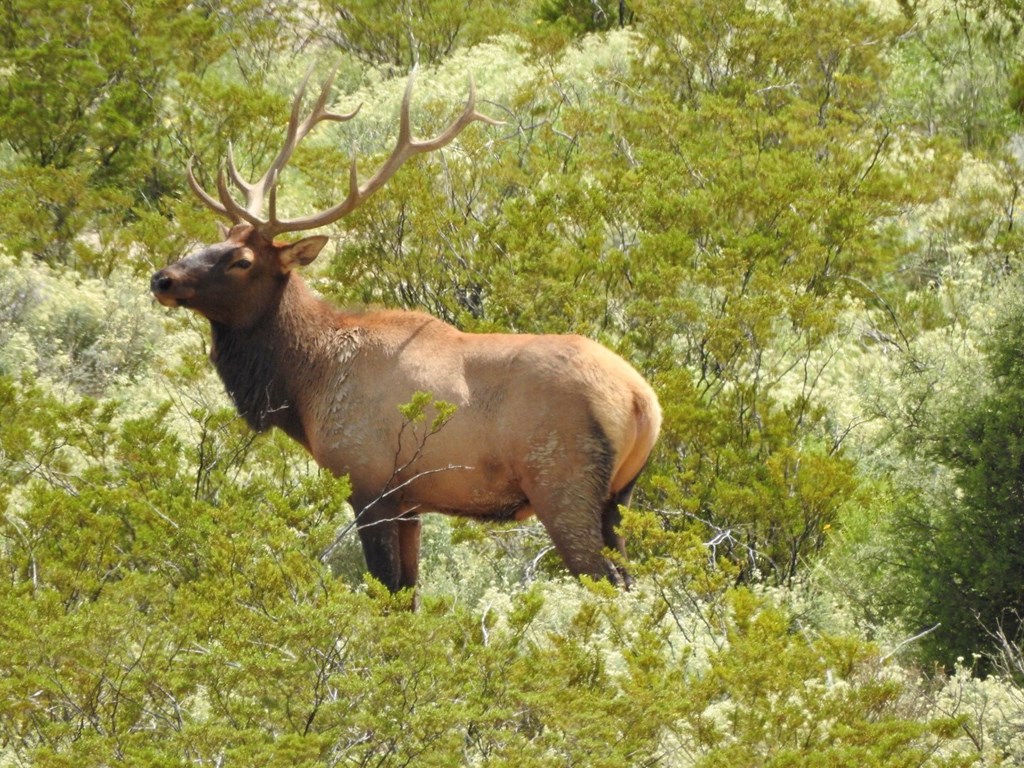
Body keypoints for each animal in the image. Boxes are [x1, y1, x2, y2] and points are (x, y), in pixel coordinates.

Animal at [151, 67, 663, 593]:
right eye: (219, 239)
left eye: (241, 259)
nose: (162, 278)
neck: (306, 385)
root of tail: (642, 401)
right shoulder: (411, 503)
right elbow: (409, 593)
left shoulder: (370, 483)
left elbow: (385, 589)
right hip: (619, 497)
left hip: (562, 485)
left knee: (606, 580)